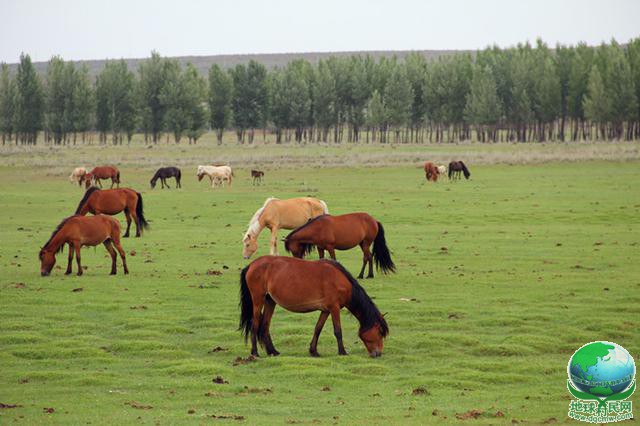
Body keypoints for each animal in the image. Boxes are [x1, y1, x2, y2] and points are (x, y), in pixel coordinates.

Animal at [240, 256, 390, 360]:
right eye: (380, 332)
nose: (378, 354)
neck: (341, 281)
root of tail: (252, 265)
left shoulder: (325, 310)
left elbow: (318, 329)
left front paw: (314, 351)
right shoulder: (334, 308)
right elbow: (338, 331)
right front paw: (342, 352)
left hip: (270, 301)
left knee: (265, 325)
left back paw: (273, 351)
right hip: (258, 300)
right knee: (255, 324)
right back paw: (255, 352)